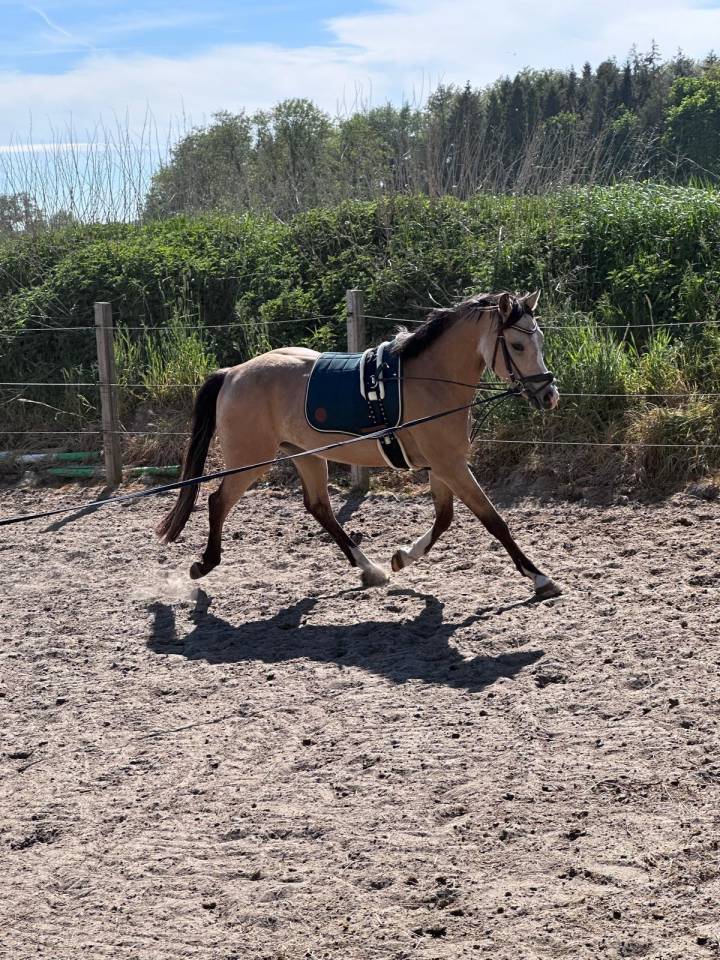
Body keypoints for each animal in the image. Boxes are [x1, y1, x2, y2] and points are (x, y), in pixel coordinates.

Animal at [157, 290, 561, 599]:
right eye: (517, 344)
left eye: (540, 341)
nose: (549, 395)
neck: (431, 381)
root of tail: (233, 373)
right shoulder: (450, 464)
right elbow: (494, 521)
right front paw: (540, 578)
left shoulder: (443, 465)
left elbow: (445, 518)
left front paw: (401, 558)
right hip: (251, 459)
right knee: (217, 501)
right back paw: (203, 565)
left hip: (305, 456)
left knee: (319, 507)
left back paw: (370, 569)